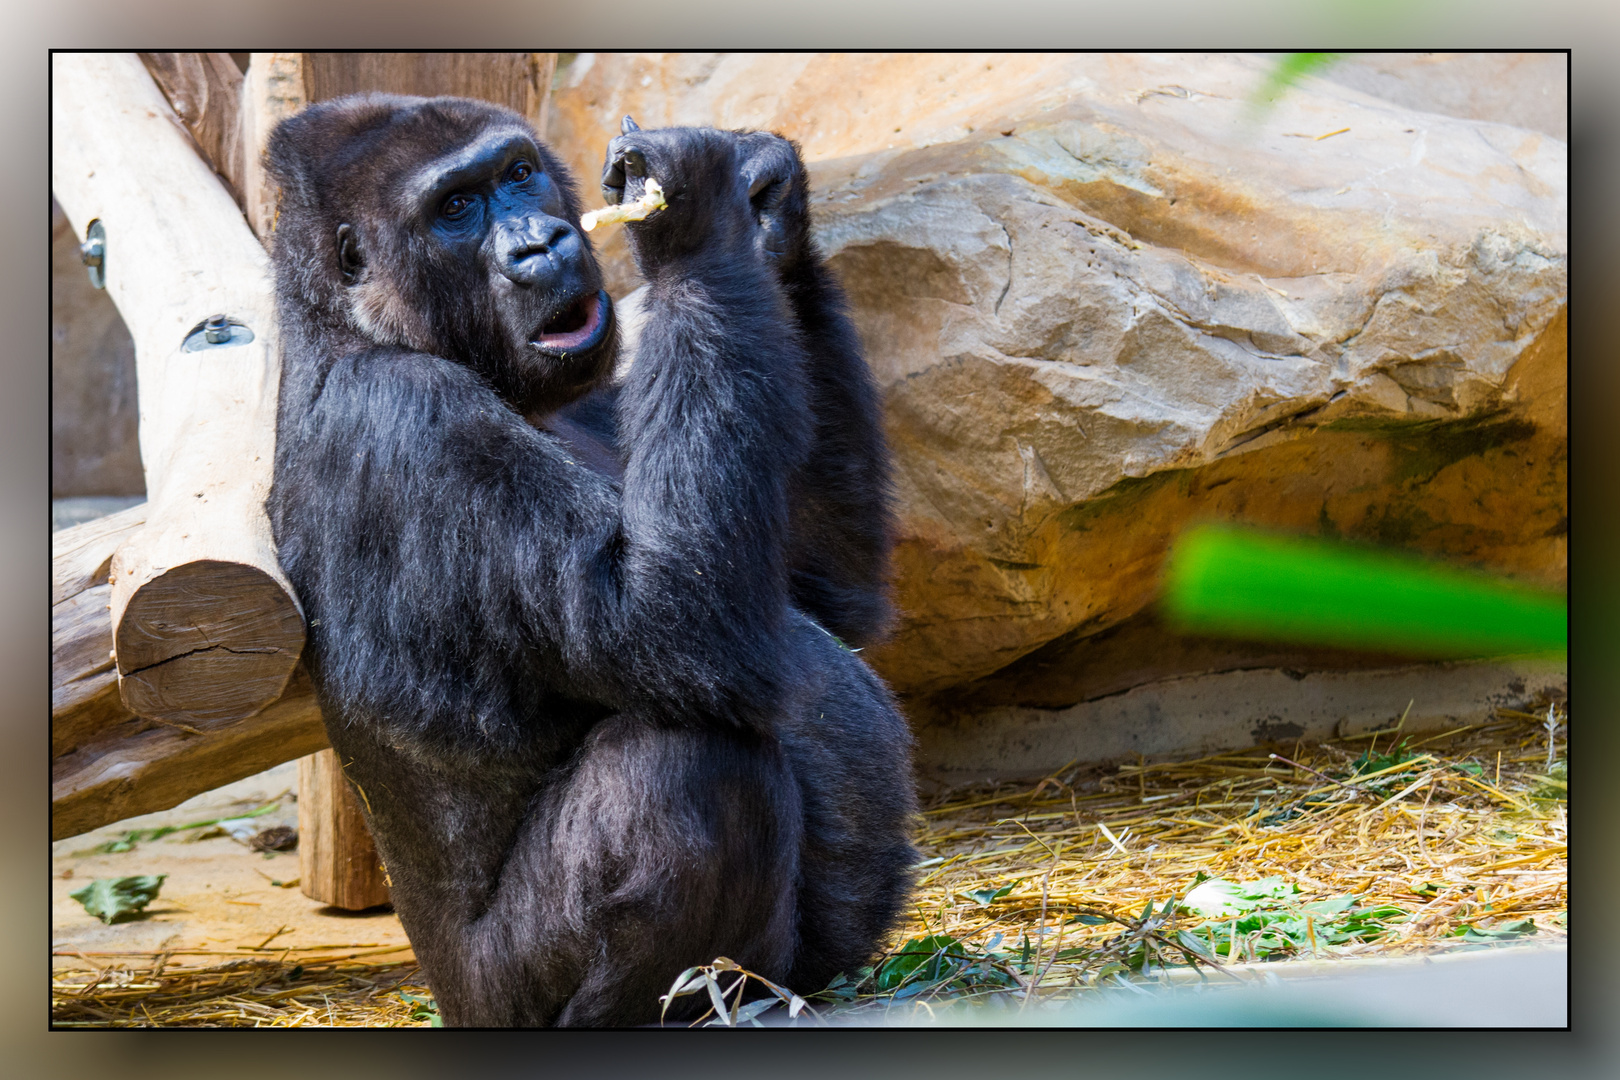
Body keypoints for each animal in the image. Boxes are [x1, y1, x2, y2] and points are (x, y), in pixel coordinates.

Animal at [272, 95, 920, 1029]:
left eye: (516, 175)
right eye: (455, 209)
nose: (542, 243)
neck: (346, 325)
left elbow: (825, 597)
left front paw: (771, 213)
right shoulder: (406, 417)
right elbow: (668, 622)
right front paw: (691, 215)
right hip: (498, 1004)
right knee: (685, 758)